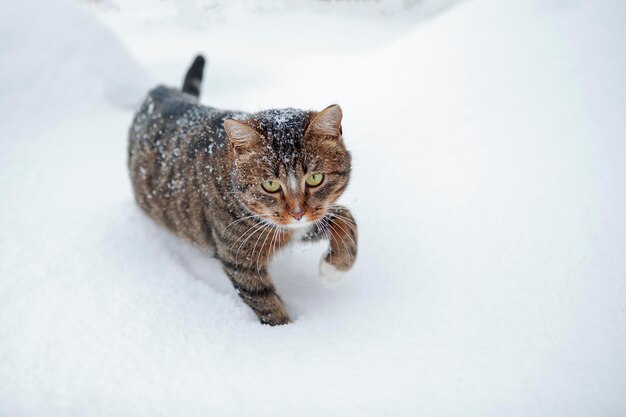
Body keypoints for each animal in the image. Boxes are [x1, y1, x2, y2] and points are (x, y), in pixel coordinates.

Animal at [127, 55, 356, 324]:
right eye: (270, 185)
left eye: (315, 179)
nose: (297, 213)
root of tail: (162, 90)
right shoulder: (240, 256)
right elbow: (264, 300)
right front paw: (287, 331)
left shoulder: (302, 225)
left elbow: (346, 218)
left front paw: (334, 270)